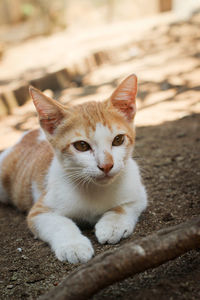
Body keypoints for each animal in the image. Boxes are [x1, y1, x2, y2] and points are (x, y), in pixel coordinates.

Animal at [0, 74, 147, 262]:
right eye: (82, 146)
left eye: (118, 140)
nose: (106, 165)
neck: (95, 189)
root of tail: (29, 134)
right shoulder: (39, 211)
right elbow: (60, 223)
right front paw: (74, 245)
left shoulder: (138, 192)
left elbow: (125, 206)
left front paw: (113, 225)